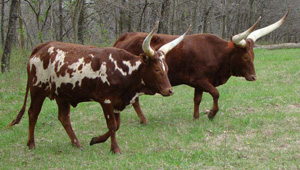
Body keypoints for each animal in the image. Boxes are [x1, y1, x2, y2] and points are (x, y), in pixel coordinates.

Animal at [7, 21, 189, 153]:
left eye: (166, 69)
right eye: (157, 69)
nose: (170, 90)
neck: (123, 69)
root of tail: (41, 47)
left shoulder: (117, 103)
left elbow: (116, 125)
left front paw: (96, 140)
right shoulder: (106, 101)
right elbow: (112, 125)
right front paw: (115, 149)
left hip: (62, 95)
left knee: (63, 118)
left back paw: (76, 144)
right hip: (38, 90)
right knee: (33, 113)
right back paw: (31, 144)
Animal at [113, 10, 290, 123]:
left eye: (253, 56)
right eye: (245, 56)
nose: (253, 77)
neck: (217, 53)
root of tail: (124, 37)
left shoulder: (199, 83)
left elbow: (197, 99)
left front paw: (196, 117)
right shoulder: (200, 80)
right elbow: (216, 93)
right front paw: (211, 114)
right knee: (135, 100)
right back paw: (143, 120)